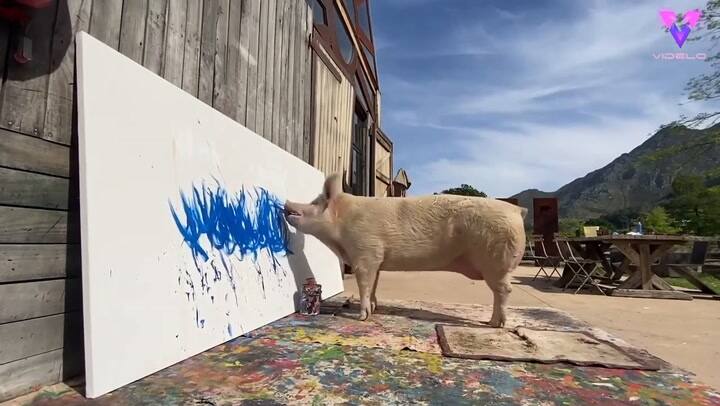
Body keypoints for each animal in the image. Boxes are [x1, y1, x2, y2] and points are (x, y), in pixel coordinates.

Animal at [284, 173, 527, 327]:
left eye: (315, 202)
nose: (286, 203)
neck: (340, 237)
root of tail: (516, 210)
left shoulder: (365, 252)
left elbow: (364, 285)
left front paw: (362, 317)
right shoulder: (377, 259)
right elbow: (374, 284)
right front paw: (375, 309)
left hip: (497, 262)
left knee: (505, 291)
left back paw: (495, 324)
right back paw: (491, 322)